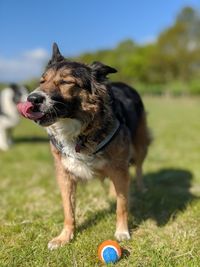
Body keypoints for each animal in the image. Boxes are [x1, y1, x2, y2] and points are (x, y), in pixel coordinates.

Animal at [17, 44, 152, 251]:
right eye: (42, 81)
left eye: (66, 82)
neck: (79, 130)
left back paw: (142, 187)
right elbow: (68, 210)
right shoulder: (64, 174)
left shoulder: (119, 168)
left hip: (140, 145)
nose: (32, 98)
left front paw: (122, 231)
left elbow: (122, 205)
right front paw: (65, 237)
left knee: (138, 168)